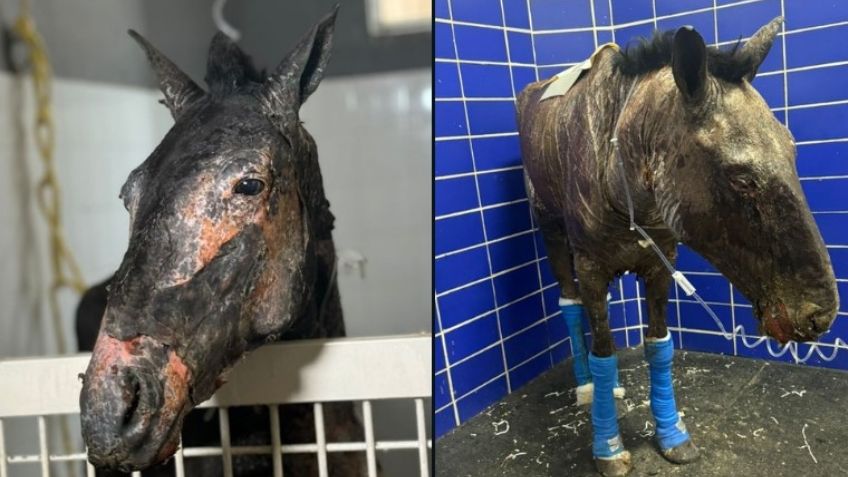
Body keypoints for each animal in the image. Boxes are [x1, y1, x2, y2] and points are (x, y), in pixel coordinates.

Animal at [516, 17, 838, 476]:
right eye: (742, 178)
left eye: (792, 150)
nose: (819, 316)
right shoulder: (592, 266)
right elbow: (603, 353)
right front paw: (608, 447)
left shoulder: (660, 264)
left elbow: (659, 346)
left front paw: (671, 434)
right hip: (552, 232)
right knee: (572, 308)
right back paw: (585, 388)